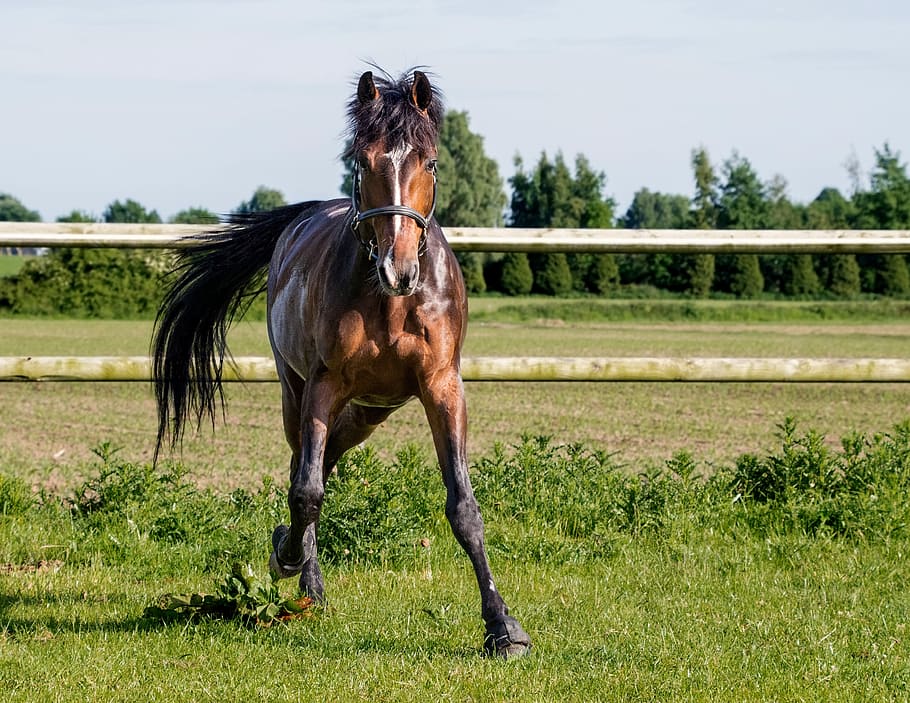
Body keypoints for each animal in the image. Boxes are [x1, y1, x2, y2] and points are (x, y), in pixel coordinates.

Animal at [152, 68, 531, 658]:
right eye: (363, 160)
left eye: (430, 162)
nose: (398, 268)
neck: (392, 302)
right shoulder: (323, 385)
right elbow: (306, 491)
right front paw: (287, 559)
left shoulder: (442, 387)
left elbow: (464, 508)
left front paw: (502, 627)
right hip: (297, 393)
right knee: (305, 469)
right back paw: (301, 573)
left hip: (372, 409)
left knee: (327, 456)